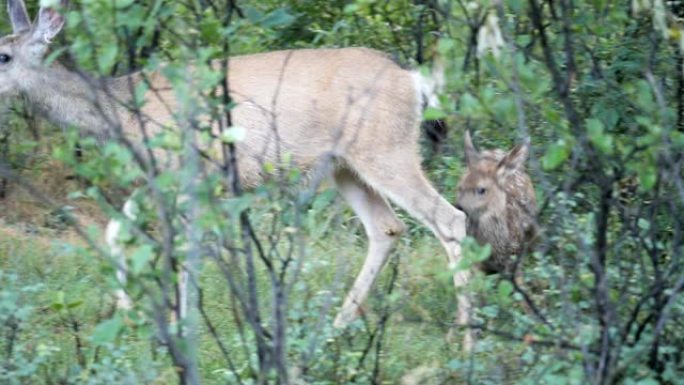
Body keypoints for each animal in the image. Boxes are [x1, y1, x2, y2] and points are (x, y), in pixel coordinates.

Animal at [4, 0, 476, 346]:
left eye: (4, 55)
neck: (126, 111)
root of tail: (412, 79)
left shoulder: (193, 173)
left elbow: (186, 250)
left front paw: (179, 326)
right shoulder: (161, 179)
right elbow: (116, 231)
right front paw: (130, 314)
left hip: (386, 149)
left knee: (450, 218)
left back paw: (466, 338)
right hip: (345, 167)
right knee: (387, 228)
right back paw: (336, 327)